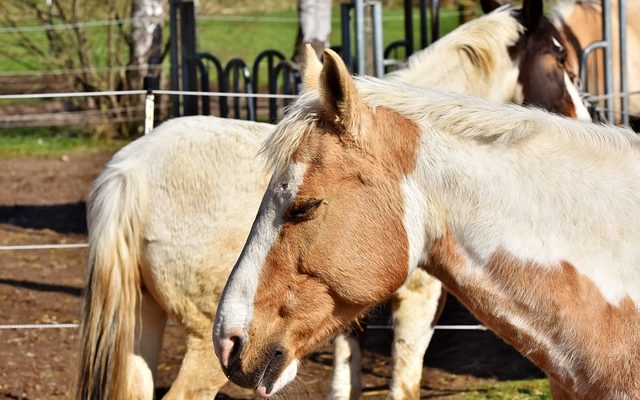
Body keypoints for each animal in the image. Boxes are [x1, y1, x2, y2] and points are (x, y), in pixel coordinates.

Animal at [75, 1, 592, 398]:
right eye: (559, 57)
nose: (585, 119)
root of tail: (129, 172)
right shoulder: (416, 305)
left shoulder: (343, 319)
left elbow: (346, 384)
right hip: (205, 343)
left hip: (144, 323)